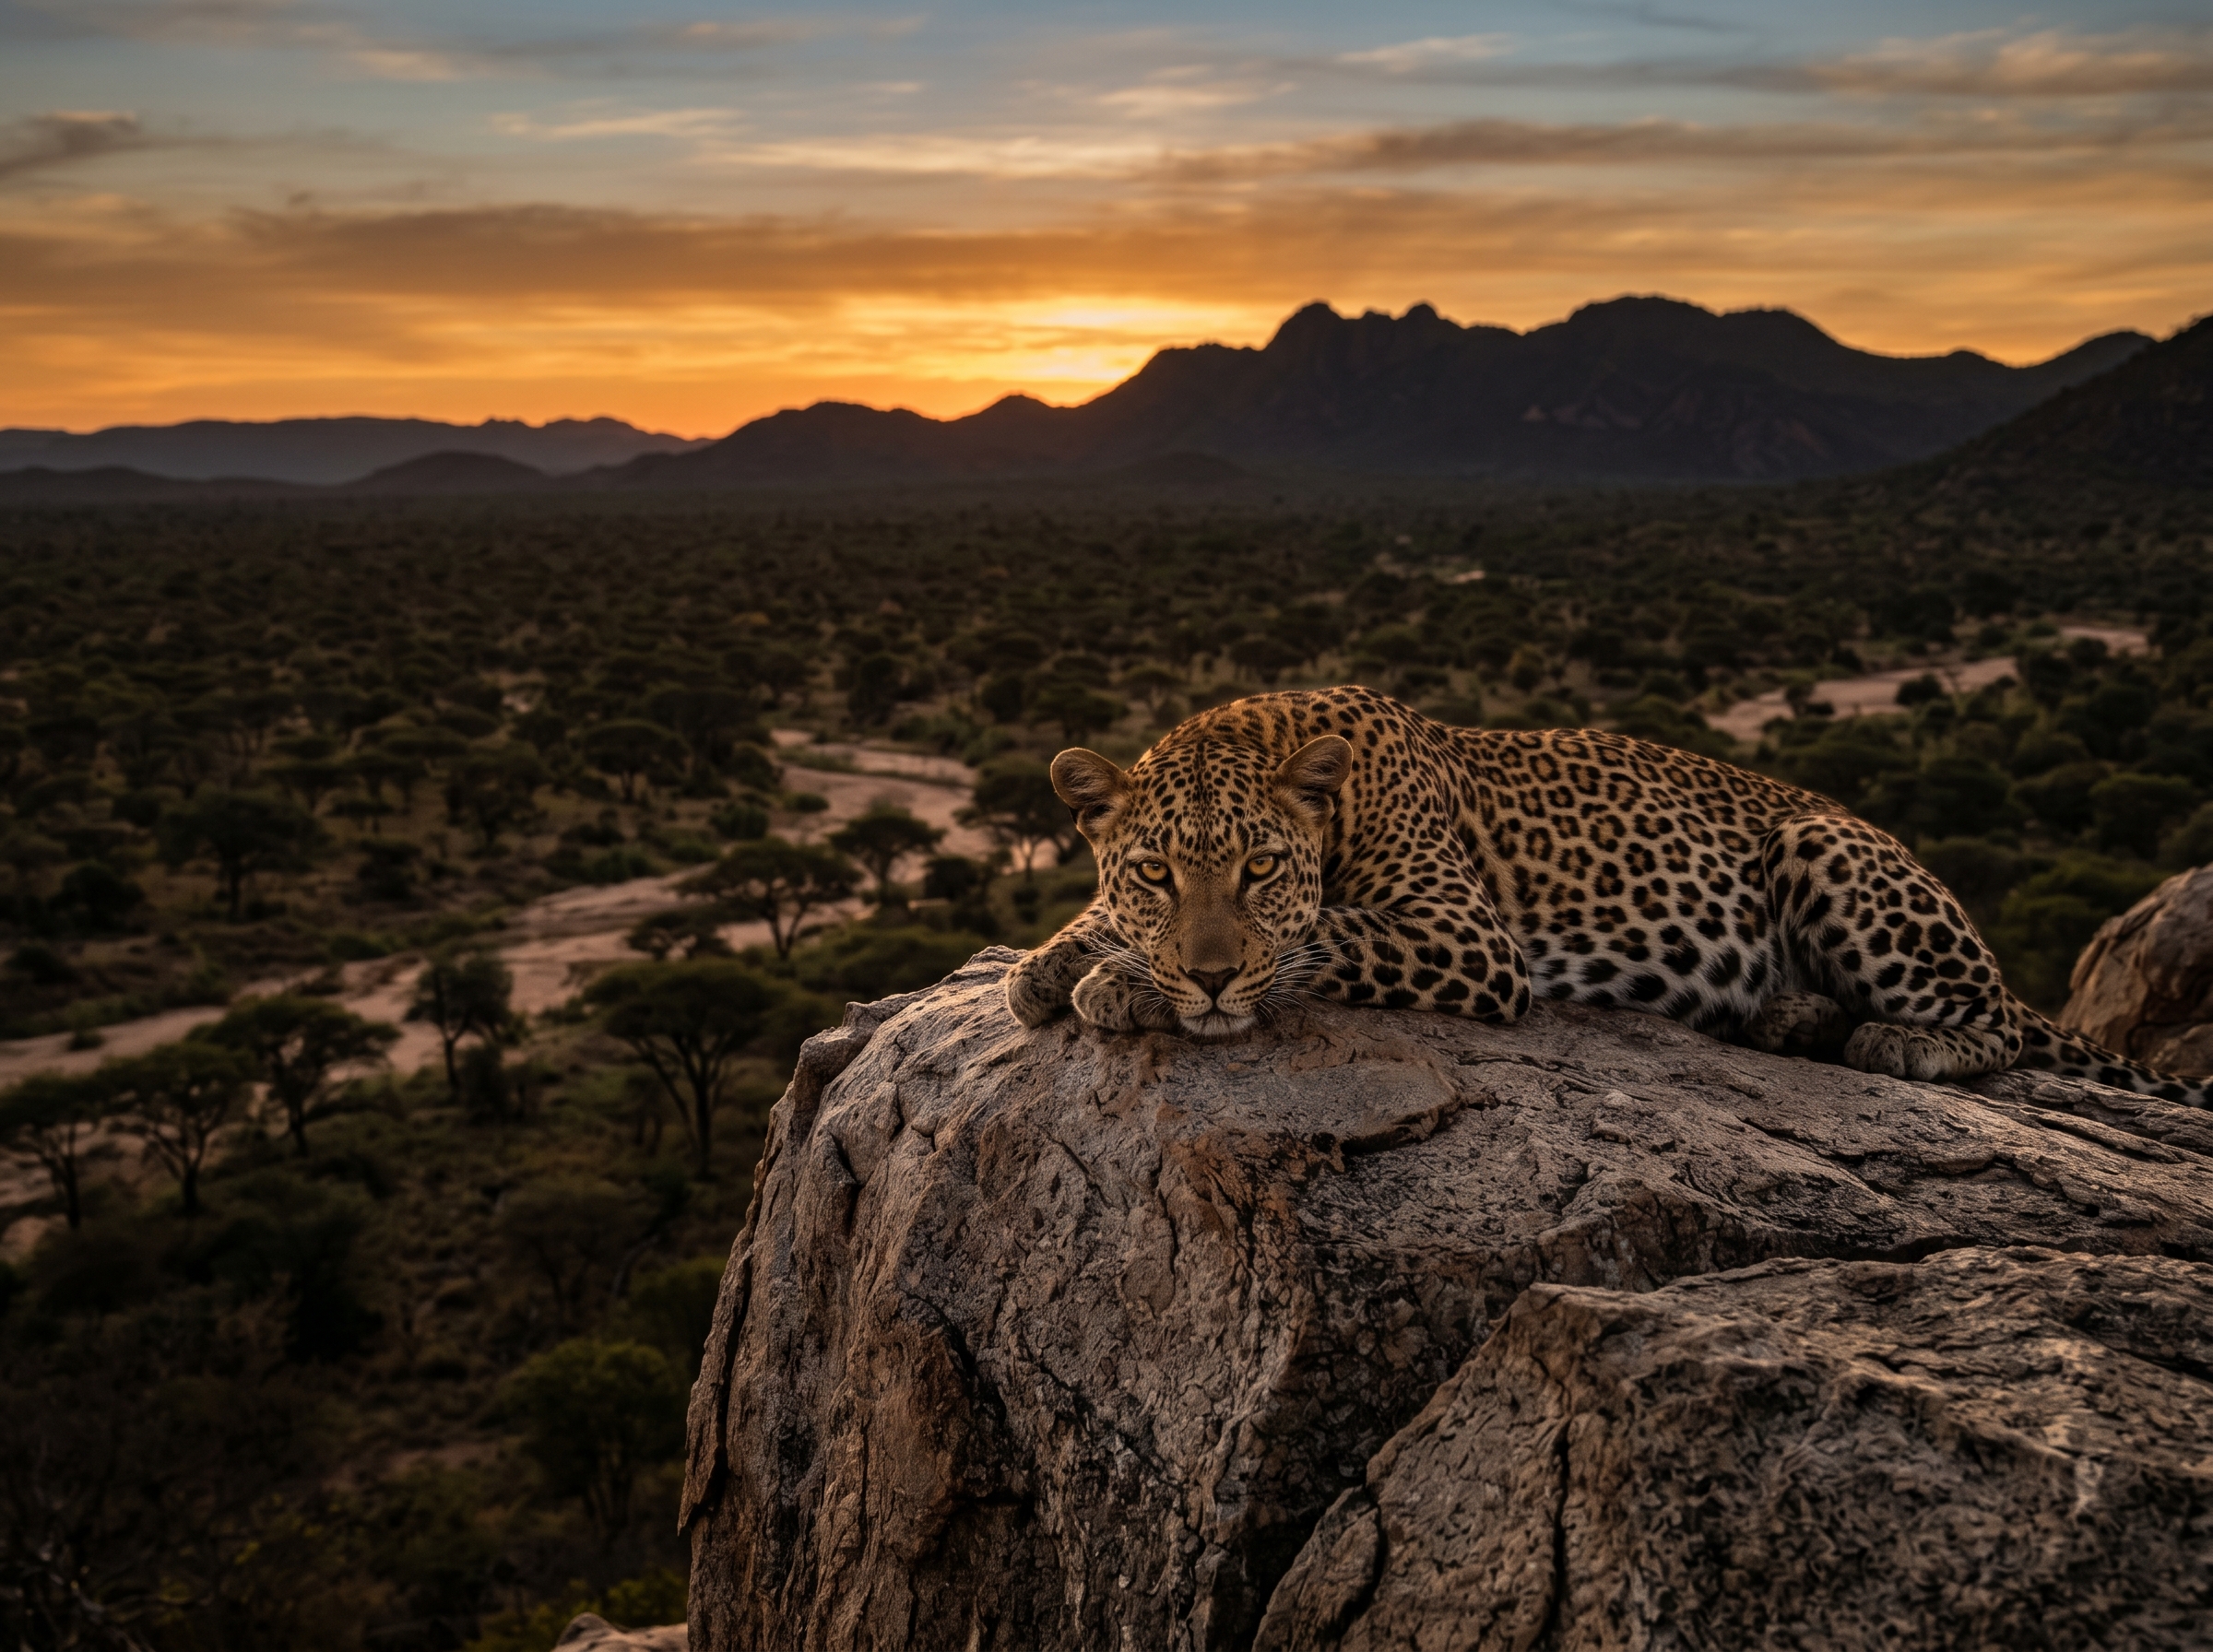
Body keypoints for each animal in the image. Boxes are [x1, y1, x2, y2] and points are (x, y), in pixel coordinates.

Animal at [1005, 684, 2210, 1105]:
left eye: (1260, 869)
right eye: (1157, 871)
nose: (1207, 981)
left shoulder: (1467, 938)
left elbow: (1320, 936)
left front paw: (1130, 982)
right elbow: (1091, 922)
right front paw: (1052, 963)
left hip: (1821, 841)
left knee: (1994, 1024)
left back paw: (1896, 1039)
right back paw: (1792, 1016)